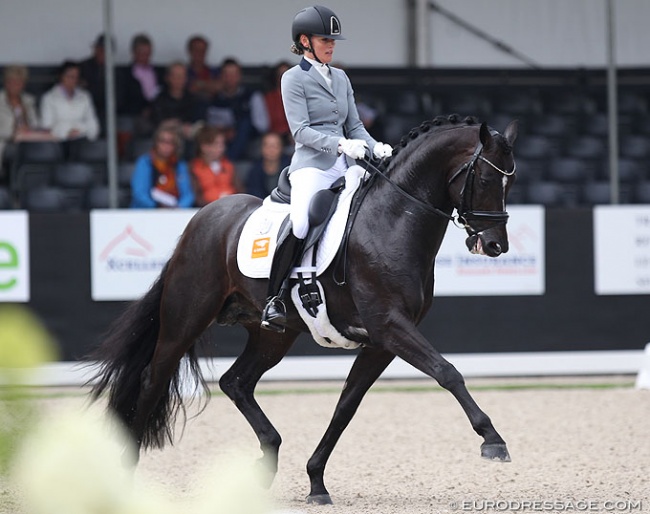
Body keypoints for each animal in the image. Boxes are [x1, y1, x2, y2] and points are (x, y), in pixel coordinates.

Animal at [90, 114, 516, 502]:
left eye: (509, 182)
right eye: (486, 179)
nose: (495, 246)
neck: (392, 222)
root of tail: (203, 218)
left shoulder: (381, 342)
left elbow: (346, 406)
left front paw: (316, 482)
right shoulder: (390, 326)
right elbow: (448, 372)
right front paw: (492, 439)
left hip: (271, 336)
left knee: (236, 382)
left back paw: (265, 465)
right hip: (186, 318)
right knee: (154, 378)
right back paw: (125, 475)